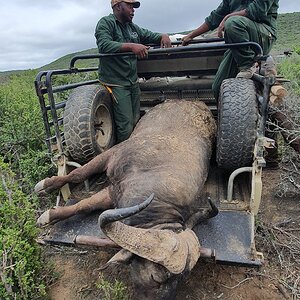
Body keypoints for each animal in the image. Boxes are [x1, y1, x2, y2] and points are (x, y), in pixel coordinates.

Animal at [35, 100, 218, 300]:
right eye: (156, 278)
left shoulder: (114, 193)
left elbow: (85, 205)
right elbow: (79, 177)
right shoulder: (111, 158)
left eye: (182, 280)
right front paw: (46, 191)